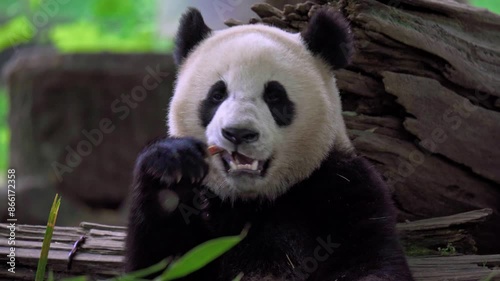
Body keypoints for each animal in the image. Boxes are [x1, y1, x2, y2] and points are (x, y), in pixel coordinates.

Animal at [125, 6, 414, 280]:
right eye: (217, 95)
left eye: (274, 96)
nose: (238, 133)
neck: (254, 202)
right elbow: (162, 262)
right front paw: (173, 166)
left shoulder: (344, 188)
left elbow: (370, 259)